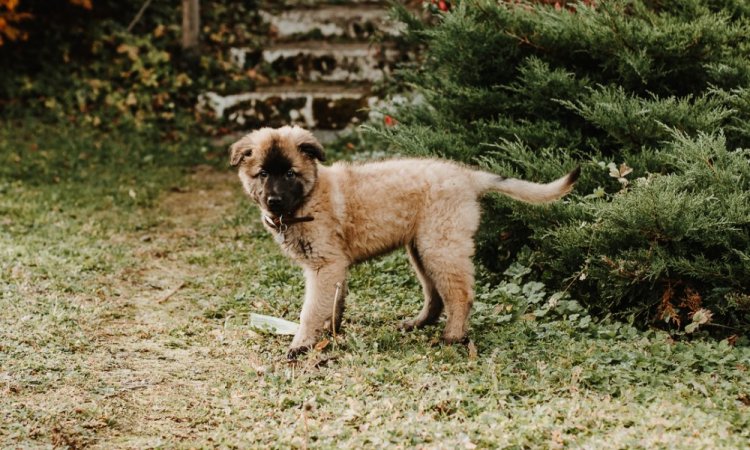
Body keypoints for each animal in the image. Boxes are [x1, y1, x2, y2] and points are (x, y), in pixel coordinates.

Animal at [231, 125, 580, 356]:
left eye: (290, 173)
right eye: (263, 174)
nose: (274, 201)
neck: (308, 199)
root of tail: (468, 175)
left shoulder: (325, 265)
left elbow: (311, 309)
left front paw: (302, 343)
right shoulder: (334, 269)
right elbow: (333, 305)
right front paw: (330, 334)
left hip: (440, 245)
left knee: (460, 294)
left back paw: (452, 337)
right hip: (421, 248)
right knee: (435, 295)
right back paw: (419, 324)